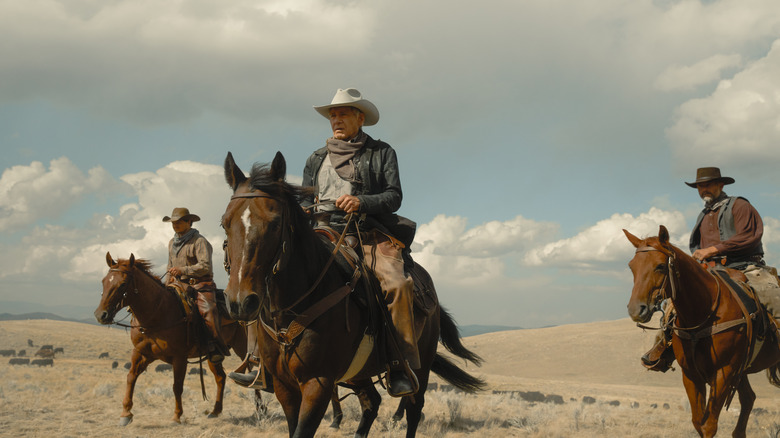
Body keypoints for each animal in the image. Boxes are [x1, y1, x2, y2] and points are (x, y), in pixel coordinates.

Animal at [93, 252, 254, 426]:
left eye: (123, 284)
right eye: (103, 281)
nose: (101, 315)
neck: (157, 314)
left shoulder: (179, 358)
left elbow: (177, 386)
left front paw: (177, 416)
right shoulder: (141, 353)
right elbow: (131, 377)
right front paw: (125, 414)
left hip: (242, 347)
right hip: (214, 355)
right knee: (220, 377)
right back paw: (215, 411)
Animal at [222, 151, 484, 438]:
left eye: (275, 223)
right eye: (225, 223)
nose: (242, 302)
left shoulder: (318, 383)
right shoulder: (284, 386)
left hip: (420, 367)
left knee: (414, 410)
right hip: (358, 374)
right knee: (372, 402)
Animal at [624, 226, 780, 438]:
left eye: (660, 266)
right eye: (632, 267)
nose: (635, 310)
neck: (703, 312)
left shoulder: (723, 373)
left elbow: (709, 425)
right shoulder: (691, 375)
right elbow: (698, 422)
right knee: (748, 398)